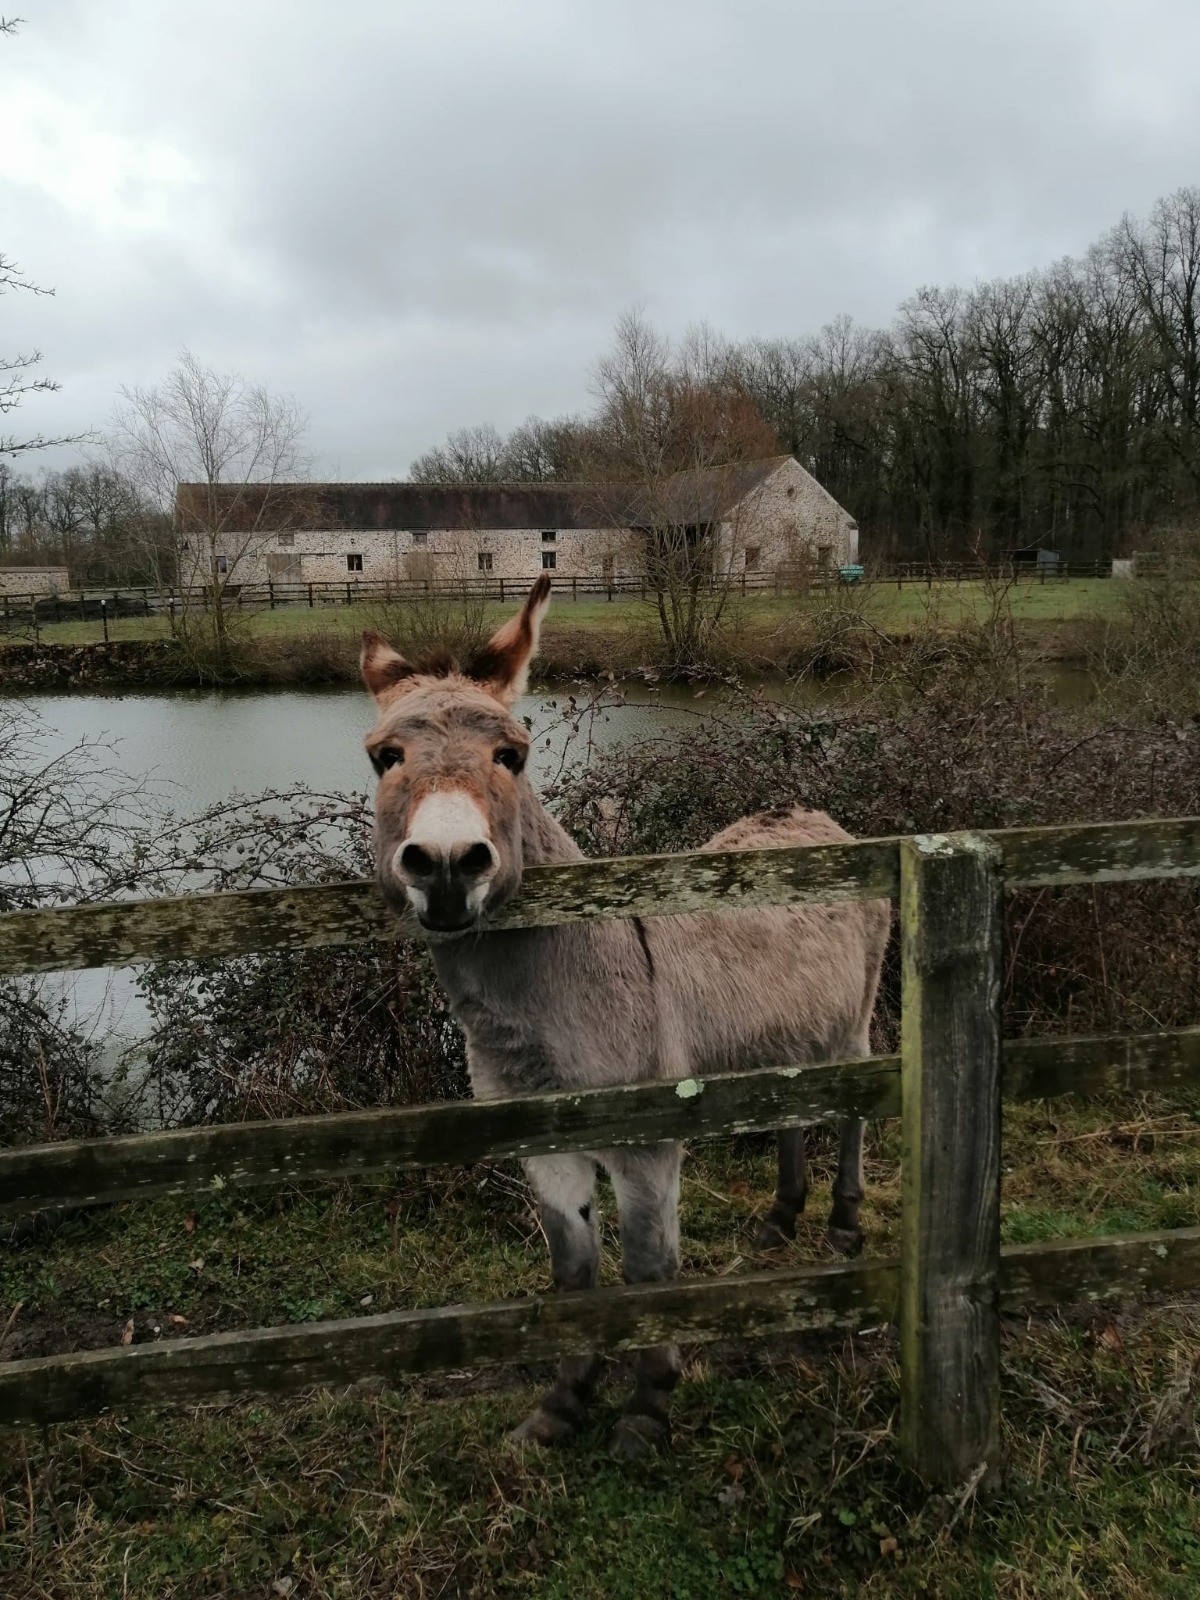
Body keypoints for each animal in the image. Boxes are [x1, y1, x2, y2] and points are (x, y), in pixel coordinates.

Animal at [360, 574, 889, 1459]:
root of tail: (807, 813)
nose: (447, 866)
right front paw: (561, 1406)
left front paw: (647, 1408)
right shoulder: (540, 1147)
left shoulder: (645, 1144)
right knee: (788, 1109)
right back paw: (778, 1224)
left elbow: (646, 1270)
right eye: (384, 756)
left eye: (513, 754)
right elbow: (575, 1276)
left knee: (850, 1110)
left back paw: (844, 1231)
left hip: (851, 1024)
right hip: (777, 1040)